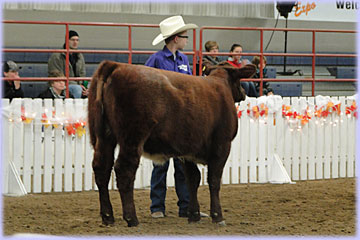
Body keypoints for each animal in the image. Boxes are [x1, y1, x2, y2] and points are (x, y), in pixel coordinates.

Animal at [87, 60, 256, 227]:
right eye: (239, 79)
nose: (243, 92)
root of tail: (116, 65)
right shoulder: (222, 145)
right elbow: (214, 180)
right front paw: (217, 216)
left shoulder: (188, 150)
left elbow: (192, 180)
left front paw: (193, 215)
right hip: (132, 137)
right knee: (124, 170)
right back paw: (131, 218)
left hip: (104, 138)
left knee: (102, 169)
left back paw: (108, 217)